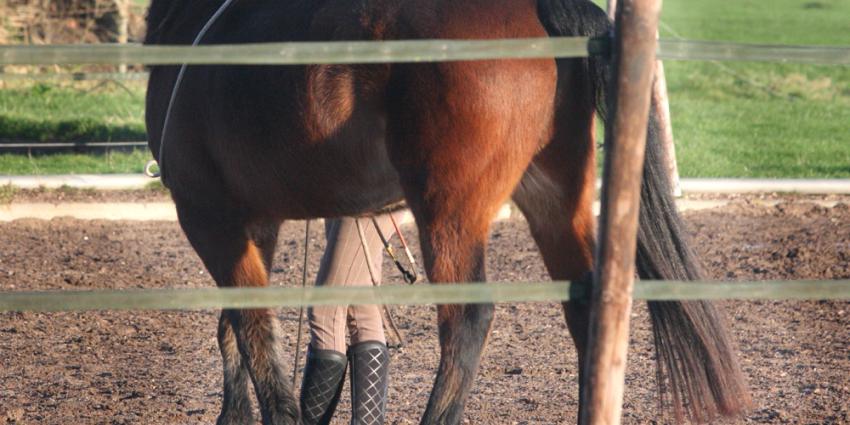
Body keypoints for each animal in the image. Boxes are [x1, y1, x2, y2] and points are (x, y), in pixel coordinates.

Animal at [144, 0, 751, 423]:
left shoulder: (208, 217)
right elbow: (234, 329)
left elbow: (251, 332)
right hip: (554, 197)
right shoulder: (254, 222)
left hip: (450, 212)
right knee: (587, 308)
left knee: (467, 319)